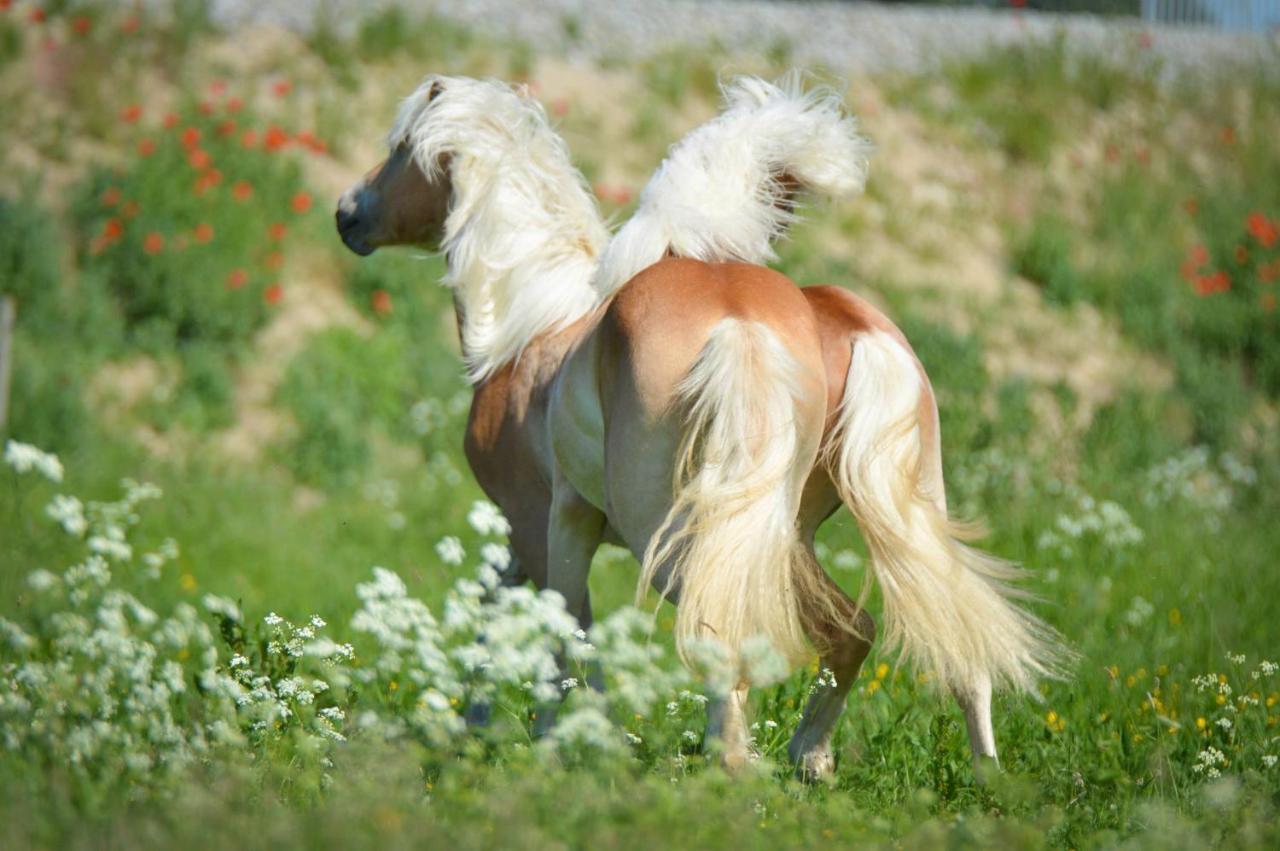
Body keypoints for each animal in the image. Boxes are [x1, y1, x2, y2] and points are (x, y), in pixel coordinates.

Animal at [335, 72, 1064, 778]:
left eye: (400, 147)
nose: (346, 213)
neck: (528, 328)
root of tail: (744, 318)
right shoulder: (534, 535)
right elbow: (500, 612)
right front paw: (480, 723)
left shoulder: (544, 521)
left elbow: (561, 634)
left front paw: (560, 743)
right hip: (829, 523)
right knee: (907, 635)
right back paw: (879, 765)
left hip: (675, 534)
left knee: (728, 629)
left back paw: (734, 766)